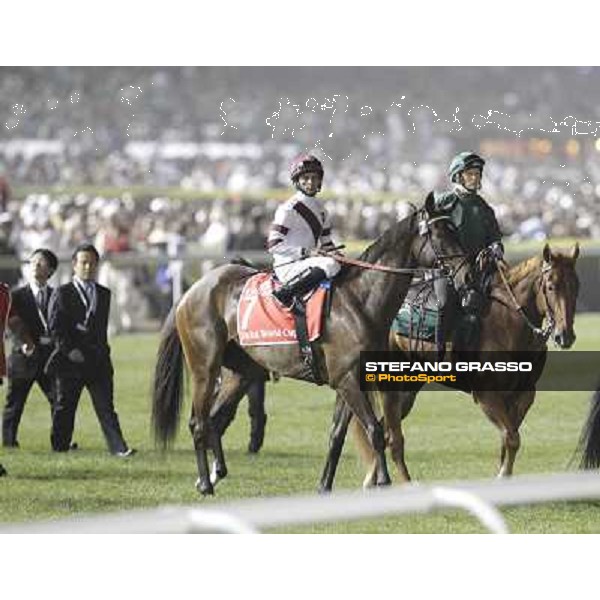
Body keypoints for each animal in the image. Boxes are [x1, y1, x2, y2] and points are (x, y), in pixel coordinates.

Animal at [152, 195, 472, 494]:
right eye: (440, 234)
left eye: (456, 230)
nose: (467, 274)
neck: (359, 301)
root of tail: (192, 290)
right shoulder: (346, 380)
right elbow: (374, 430)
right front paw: (383, 482)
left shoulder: (351, 381)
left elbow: (337, 435)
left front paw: (325, 486)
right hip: (204, 369)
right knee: (199, 423)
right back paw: (206, 483)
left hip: (241, 372)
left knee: (215, 419)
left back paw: (216, 473)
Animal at [324, 244, 580, 488]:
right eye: (551, 287)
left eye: (576, 286)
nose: (564, 336)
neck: (507, 321)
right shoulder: (487, 397)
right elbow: (512, 437)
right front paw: (502, 477)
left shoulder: (524, 395)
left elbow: (508, 439)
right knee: (390, 436)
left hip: (407, 391)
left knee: (383, 430)